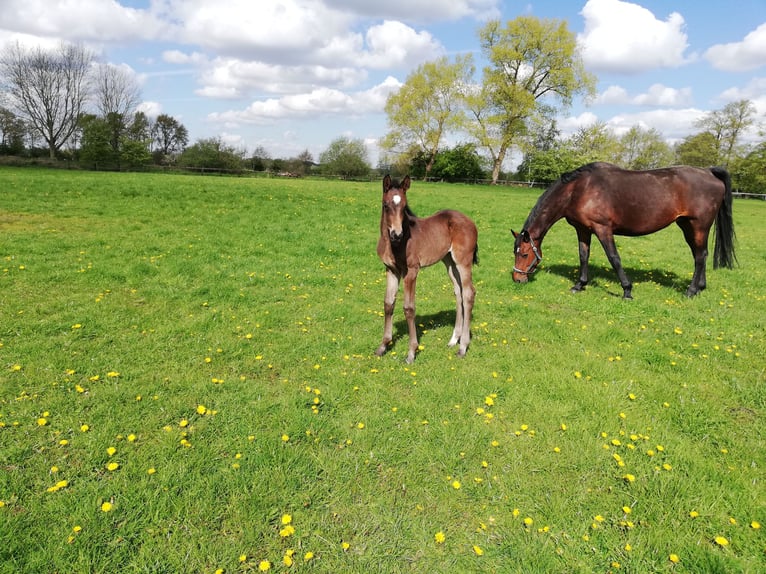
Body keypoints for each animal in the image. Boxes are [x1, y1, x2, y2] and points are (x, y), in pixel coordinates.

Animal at [376, 176, 476, 364]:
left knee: (468, 293)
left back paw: (463, 347)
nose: (397, 235)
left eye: (404, 206)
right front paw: (383, 346)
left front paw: (411, 352)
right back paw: (454, 340)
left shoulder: (411, 271)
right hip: (449, 262)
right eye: (386, 205)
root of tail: (470, 221)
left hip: (463, 261)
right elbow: (388, 304)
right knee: (458, 292)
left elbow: (409, 308)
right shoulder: (391, 270)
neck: (394, 245)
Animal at [512, 161, 736, 300]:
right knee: (701, 254)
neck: (579, 189)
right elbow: (583, 256)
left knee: (699, 256)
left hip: (698, 226)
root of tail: (709, 172)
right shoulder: (583, 230)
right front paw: (579, 285)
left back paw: (690, 291)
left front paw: (627, 291)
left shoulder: (603, 229)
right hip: (687, 226)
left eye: (524, 254)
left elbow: (614, 258)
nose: (517, 279)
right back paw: (700, 288)